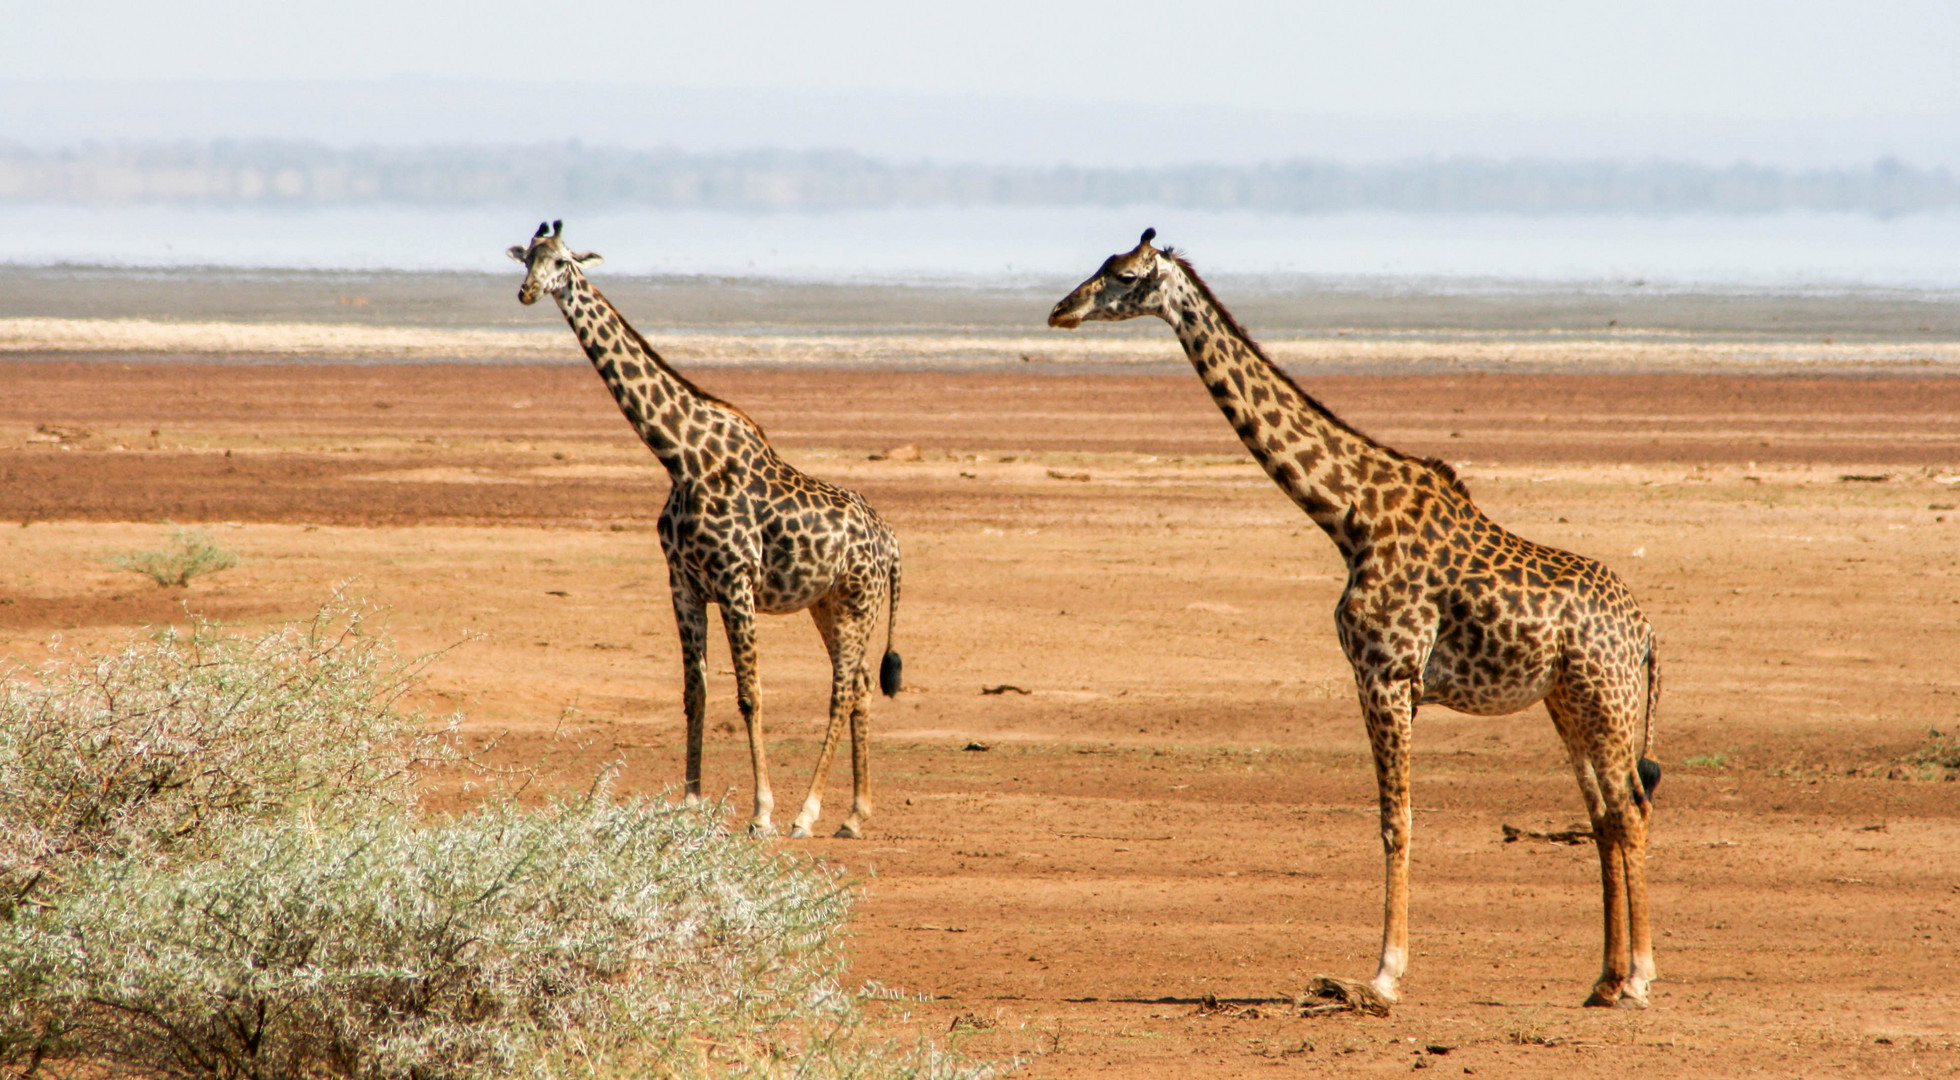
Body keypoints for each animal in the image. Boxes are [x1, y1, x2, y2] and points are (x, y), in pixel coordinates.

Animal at [505, 219, 901, 842]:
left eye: (564, 262)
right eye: (528, 259)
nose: (527, 292)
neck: (681, 457)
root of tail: (890, 540)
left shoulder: (736, 582)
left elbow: (750, 694)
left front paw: (762, 811)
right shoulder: (684, 584)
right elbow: (697, 692)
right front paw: (690, 804)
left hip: (860, 599)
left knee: (841, 691)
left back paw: (806, 813)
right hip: (829, 603)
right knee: (860, 686)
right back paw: (856, 814)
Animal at [1050, 230, 1662, 1011]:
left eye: (1125, 276)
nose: (1061, 310)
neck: (1349, 515)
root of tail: (1646, 634)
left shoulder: (1387, 675)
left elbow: (1395, 822)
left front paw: (1382, 975)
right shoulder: (1390, 681)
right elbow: (1397, 820)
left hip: (1607, 702)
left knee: (1631, 810)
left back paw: (1639, 976)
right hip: (1570, 703)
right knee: (1605, 815)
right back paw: (1604, 978)